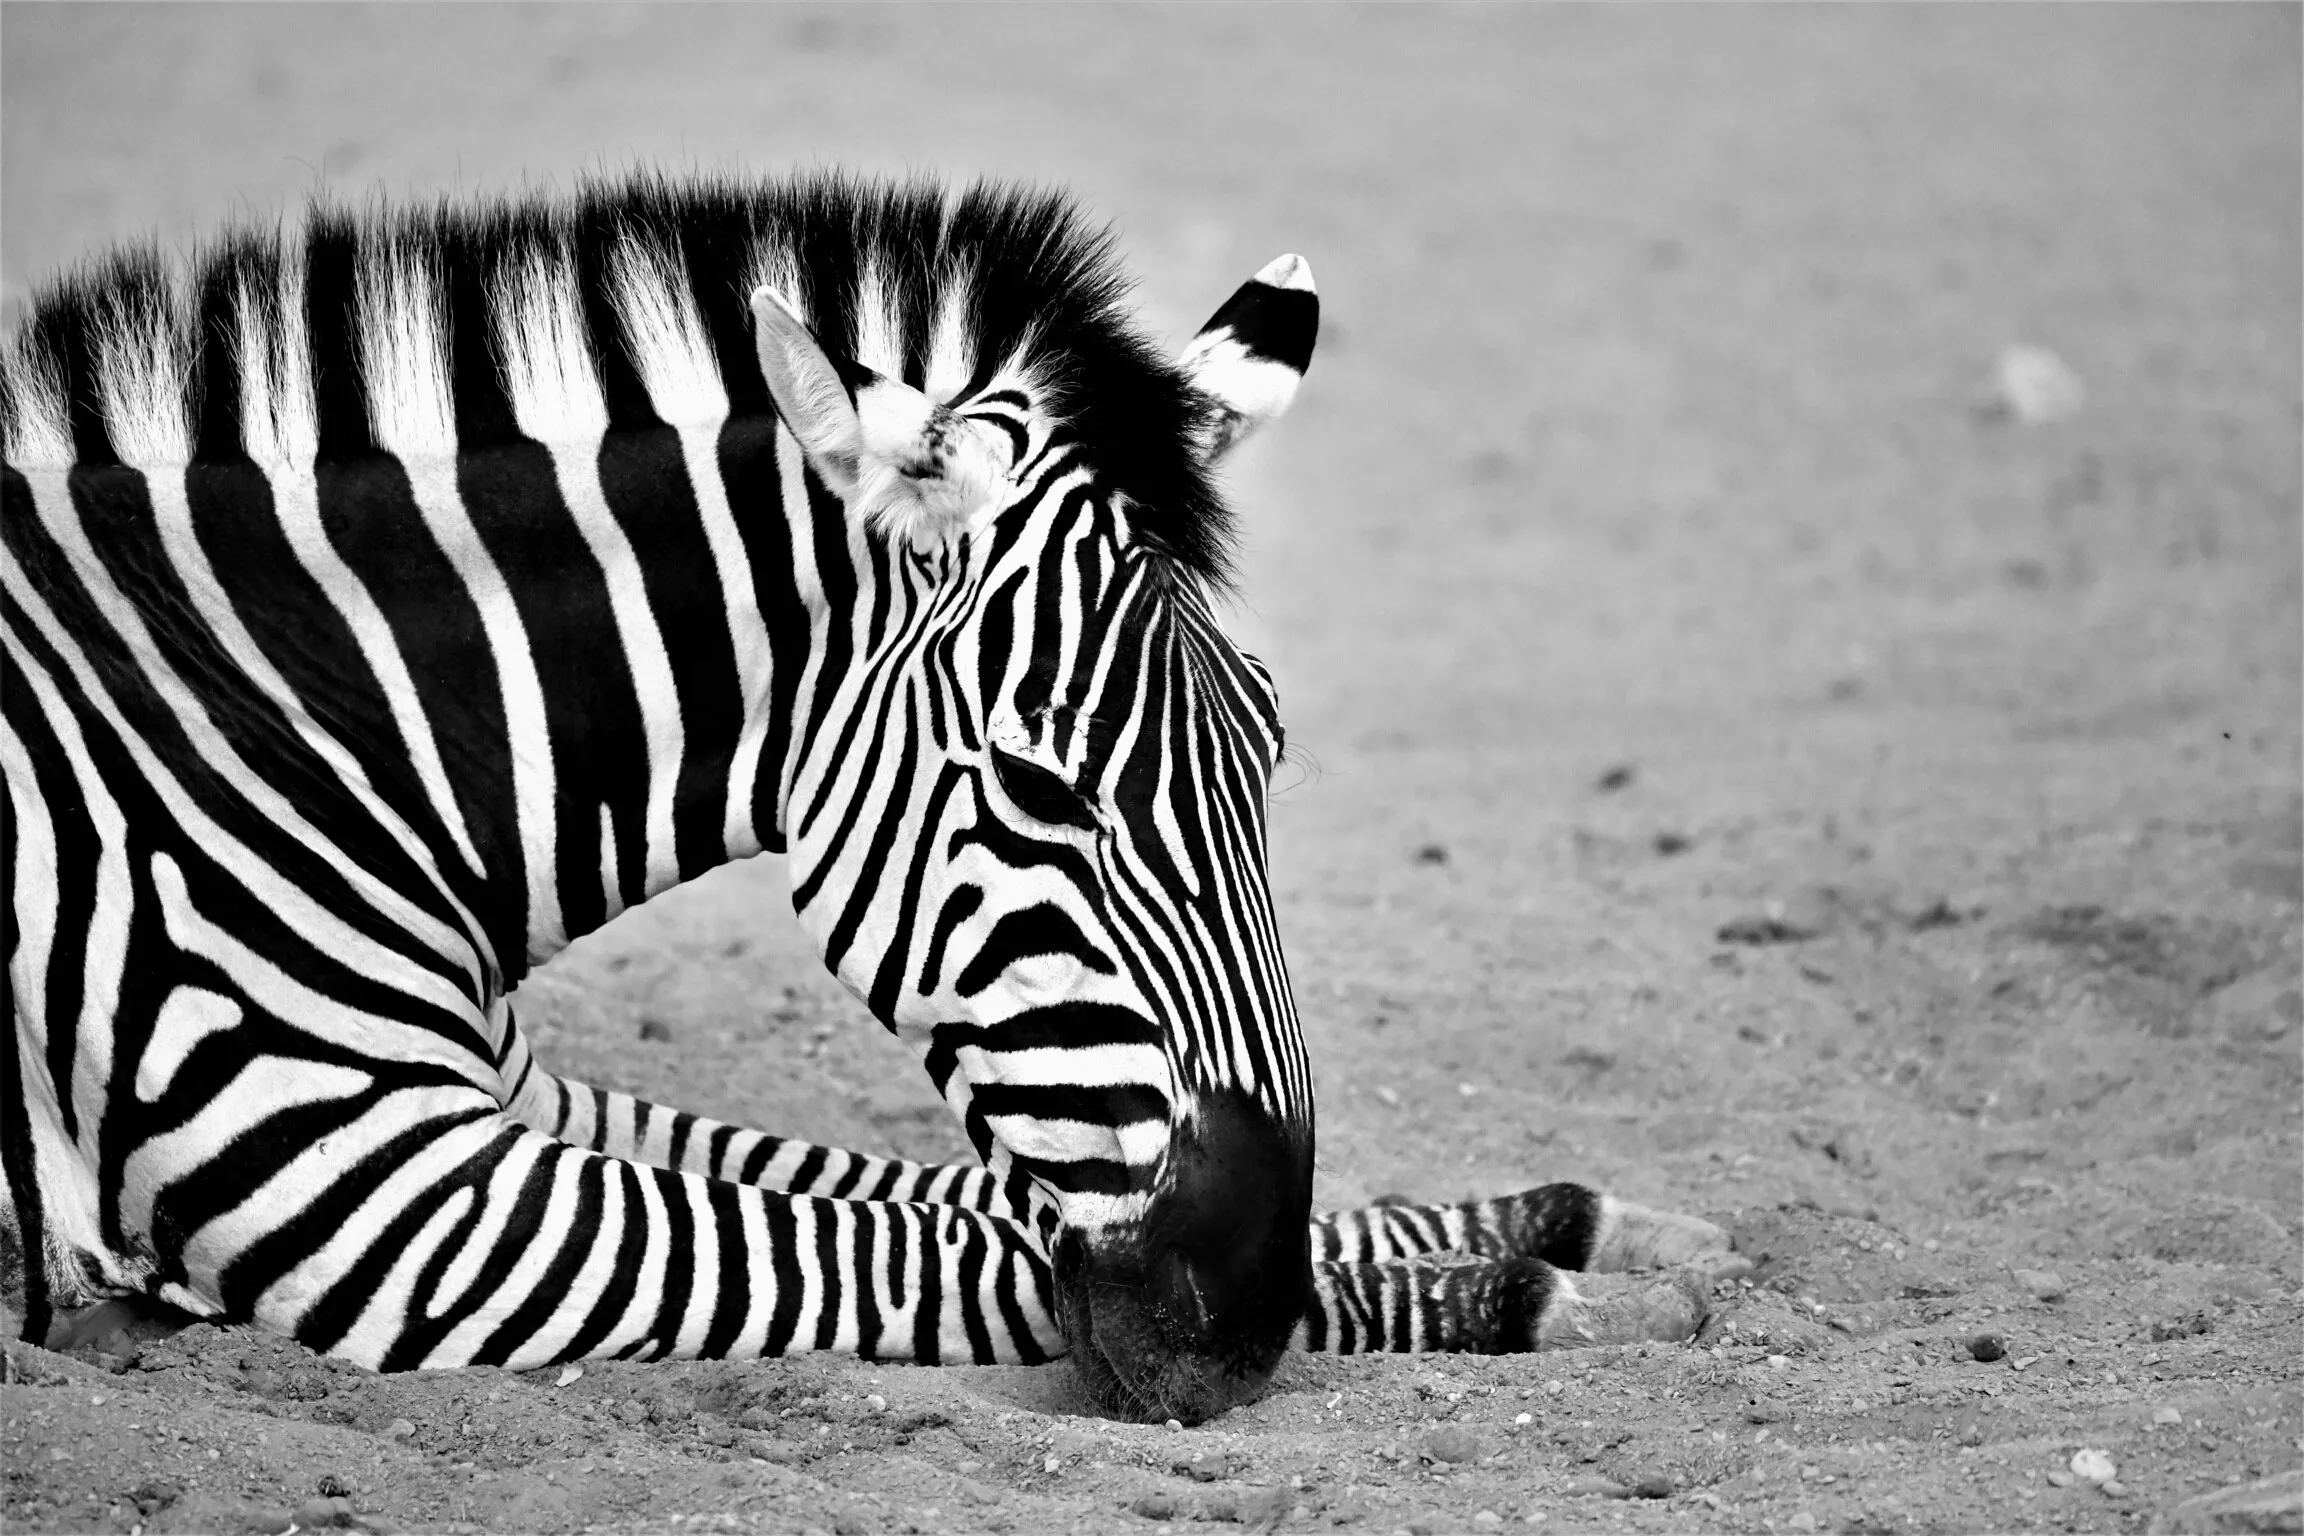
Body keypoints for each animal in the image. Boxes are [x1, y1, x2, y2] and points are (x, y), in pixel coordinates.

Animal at [2, 172, 1730, 1423]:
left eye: (1273, 748)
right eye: (1037, 789)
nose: (1238, 1317)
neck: (306, 719)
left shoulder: (500, 1094)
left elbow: (898, 1183)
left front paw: (1587, 1223)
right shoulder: (373, 1190)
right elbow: (912, 1237)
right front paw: (1537, 1289)